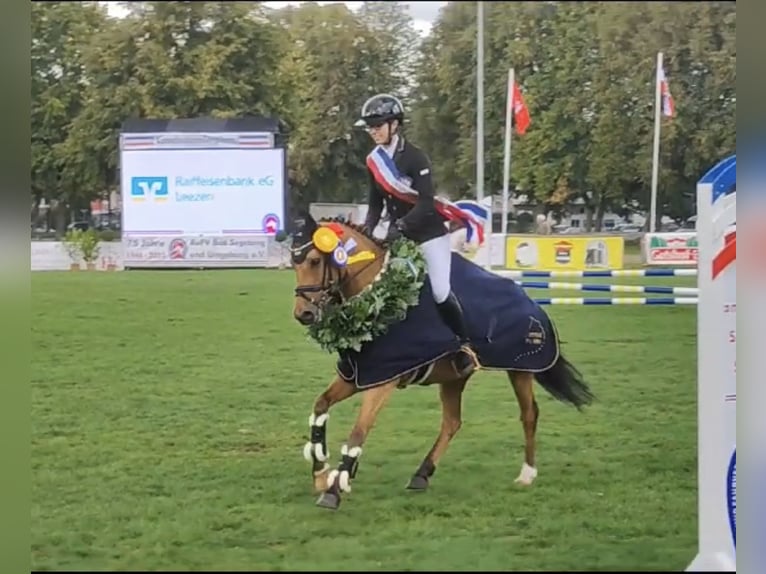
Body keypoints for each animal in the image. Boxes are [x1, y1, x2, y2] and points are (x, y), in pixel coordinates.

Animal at [282, 216, 592, 512]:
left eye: (314, 261)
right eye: (294, 262)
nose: (303, 314)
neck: (376, 294)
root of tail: (532, 302)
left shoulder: (384, 380)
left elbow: (358, 432)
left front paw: (334, 490)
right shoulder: (356, 376)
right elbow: (320, 407)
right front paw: (320, 473)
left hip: (520, 370)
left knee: (529, 414)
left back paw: (527, 474)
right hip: (455, 377)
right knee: (452, 422)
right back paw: (422, 474)